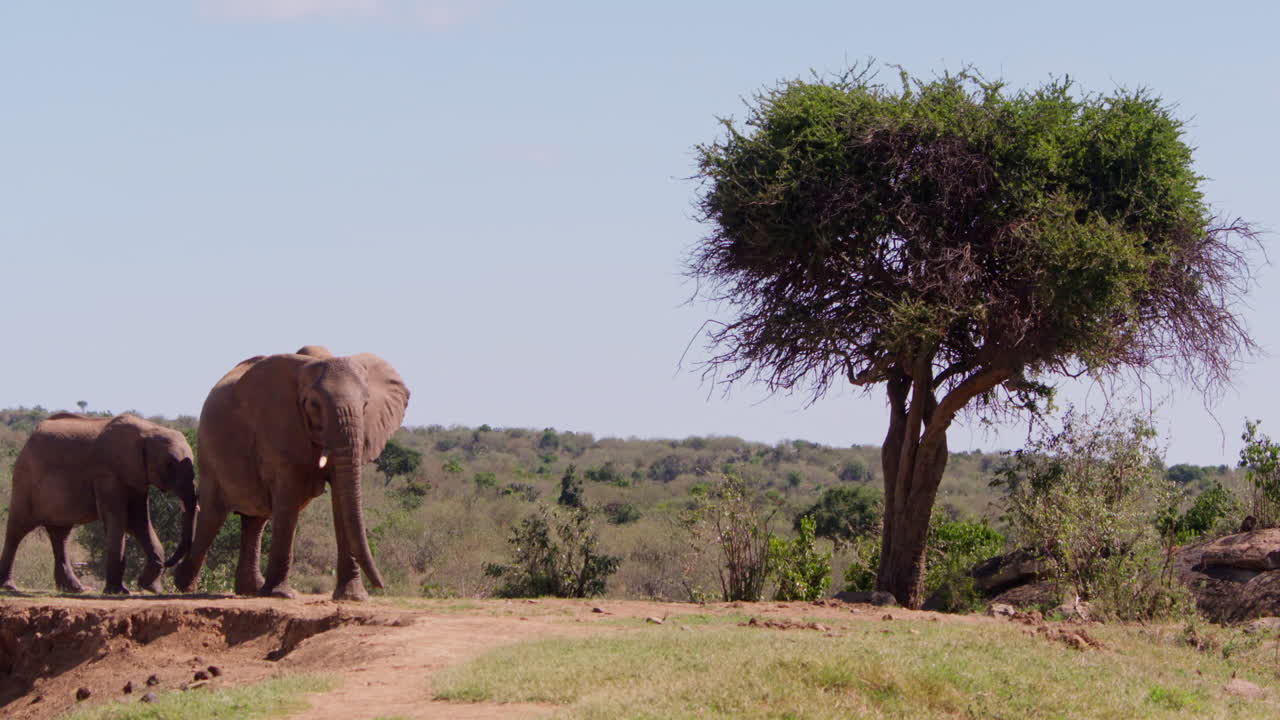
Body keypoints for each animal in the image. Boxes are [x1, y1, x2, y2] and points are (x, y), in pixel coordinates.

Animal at [0, 413, 198, 594]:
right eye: (170, 464)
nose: (170, 564)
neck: (148, 430)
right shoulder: (108, 475)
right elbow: (119, 520)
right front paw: (118, 591)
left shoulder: (137, 479)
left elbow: (138, 521)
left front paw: (151, 588)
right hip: (25, 480)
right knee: (18, 530)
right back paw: (9, 586)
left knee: (60, 534)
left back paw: (75, 589)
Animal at [173, 348, 409, 601]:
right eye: (314, 404)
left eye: (365, 406)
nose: (381, 586)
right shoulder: (280, 428)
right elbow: (289, 495)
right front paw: (281, 594)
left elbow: (340, 498)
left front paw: (353, 598)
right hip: (209, 453)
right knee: (213, 515)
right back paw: (184, 586)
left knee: (255, 519)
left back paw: (251, 589)